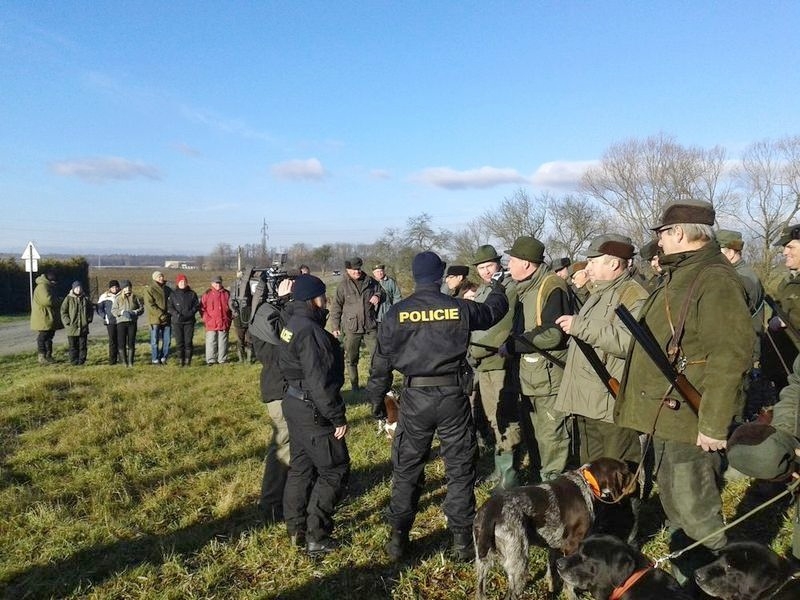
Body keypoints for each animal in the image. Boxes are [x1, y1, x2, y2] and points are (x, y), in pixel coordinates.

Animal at [476, 458, 636, 596]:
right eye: (628, 472)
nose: (638, 481)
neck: (587, 482)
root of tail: (490, 511)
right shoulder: (572, 545)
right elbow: (568, 581)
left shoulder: (555, 544)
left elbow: (552, 573)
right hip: (518, 561)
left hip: (483, 561)